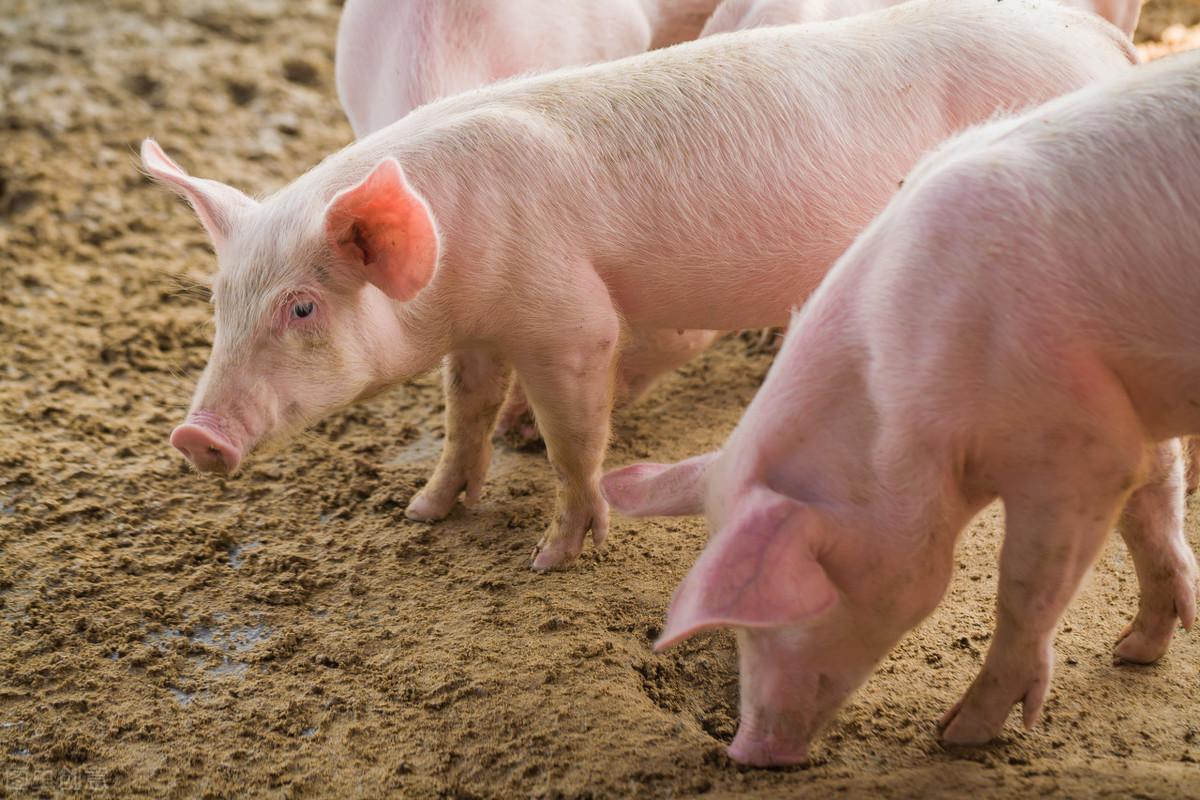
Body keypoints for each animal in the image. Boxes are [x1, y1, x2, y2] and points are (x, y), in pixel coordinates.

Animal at [147, 0, 1132, 575]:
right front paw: (425, 510)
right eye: (218, 302)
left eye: (302, 305)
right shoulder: (478, 328)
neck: (461, 248)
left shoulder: (566, 317)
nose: (194, 436)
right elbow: (464, 409)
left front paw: (554, 558)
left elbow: (574, 431)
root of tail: (1100, 40)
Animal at [604, 47, 1200, 767]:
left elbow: (1025, 590)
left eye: (783, 609)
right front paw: (1135, 651)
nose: (743, 750)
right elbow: (1154, 510)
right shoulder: (1130, 406)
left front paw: (958, 736)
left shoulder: (1077, 451)